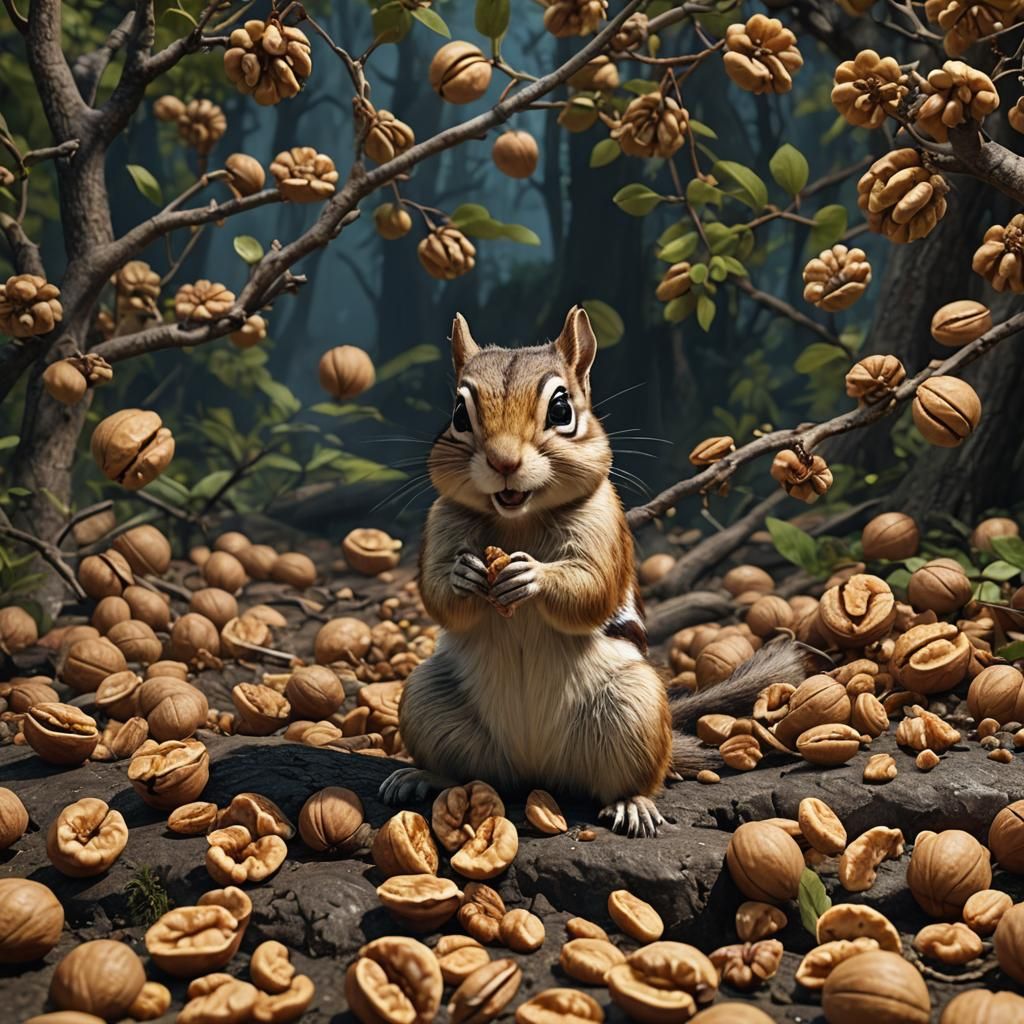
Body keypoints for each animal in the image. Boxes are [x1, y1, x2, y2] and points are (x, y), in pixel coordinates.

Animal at [379, 306, 811, 837]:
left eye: (561, 409)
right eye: (459, 415)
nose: (504, 461)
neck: (517, 519)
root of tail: (536, 768)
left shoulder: (606, 523)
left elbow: (592, 588)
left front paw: (534, 577)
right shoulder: (439, 523)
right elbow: (437, 595)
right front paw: (464, 576)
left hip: (634, 707)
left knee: (636, 777)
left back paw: (632, 804)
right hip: (425, 699)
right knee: (468, 769)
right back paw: (422, 776)